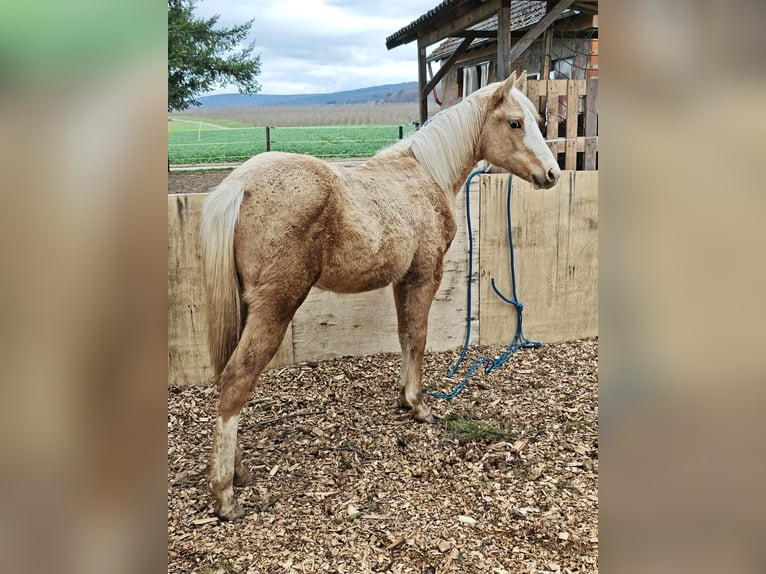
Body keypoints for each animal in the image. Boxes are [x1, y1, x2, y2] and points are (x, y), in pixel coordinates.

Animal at [200, 71, 560, 520]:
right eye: (515, 122)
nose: (553, 173)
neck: (425, 174)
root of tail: (240, 185)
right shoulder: (425, 275)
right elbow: (418, 337)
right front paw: (419, 405)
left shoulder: (402, 280)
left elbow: (405, 336)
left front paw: (405, 398)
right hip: (275, 307)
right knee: (236, 380)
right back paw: (225, 495)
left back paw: (239, 471)